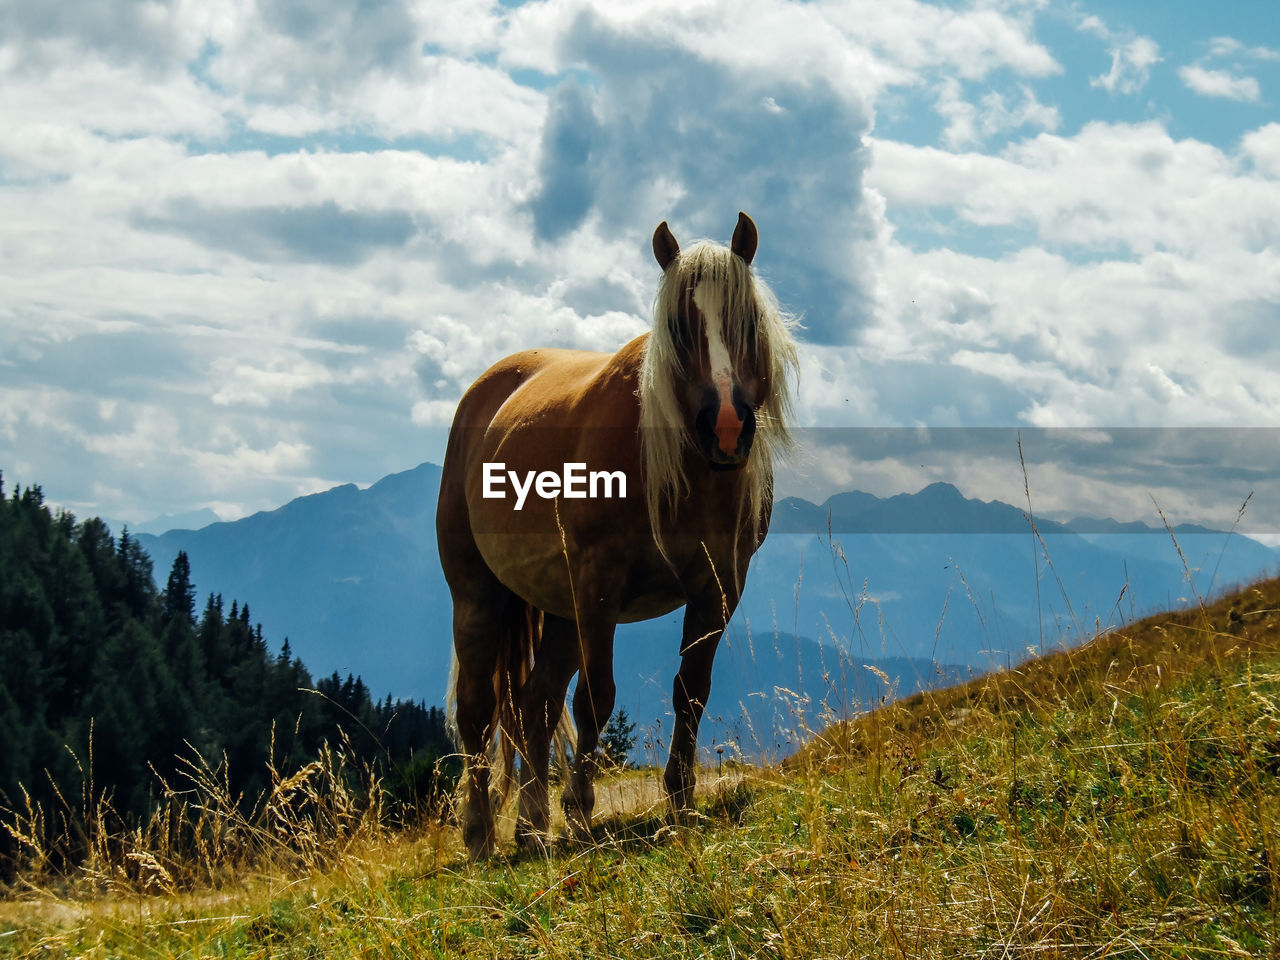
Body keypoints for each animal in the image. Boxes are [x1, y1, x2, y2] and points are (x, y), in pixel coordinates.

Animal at [440, 213, 798, 860]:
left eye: (748, 322)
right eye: (678, 325)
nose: (726, 427)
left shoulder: (719, 586)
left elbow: (691, 689)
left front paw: (680, 801)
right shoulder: (598, 586)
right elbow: (596, 698)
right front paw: (581, 810)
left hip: (561, 609)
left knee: (534, 703)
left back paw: (532, 825)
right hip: (482, 595)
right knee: (481, 710)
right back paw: (480, 832)